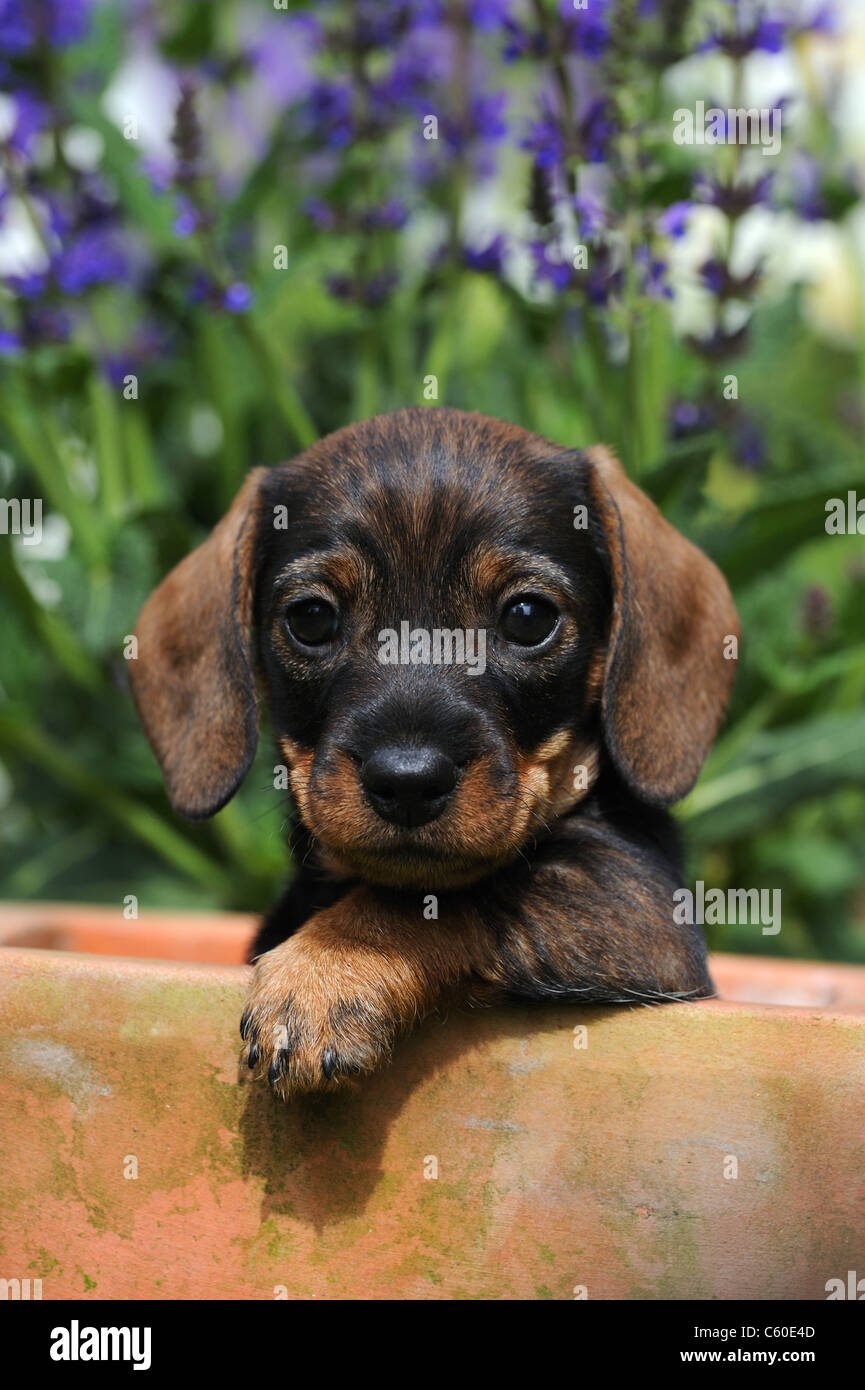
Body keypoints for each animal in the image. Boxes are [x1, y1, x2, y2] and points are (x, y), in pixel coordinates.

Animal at [128, 405, 739, 1095]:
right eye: (311, 618)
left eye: (529, 616)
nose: (408, 782)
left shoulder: (638, 908)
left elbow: (435, 901)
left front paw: (324, 971)